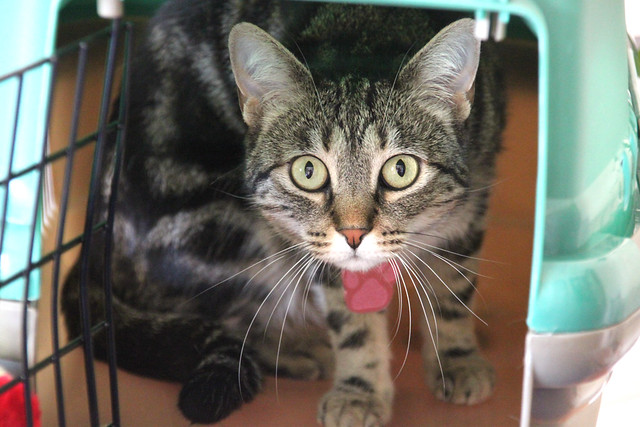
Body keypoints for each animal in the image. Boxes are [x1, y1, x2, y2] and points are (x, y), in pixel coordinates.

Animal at [62, 1, 508, 426]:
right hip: (225, 226)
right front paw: (359, 391)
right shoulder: (312, 244)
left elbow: (454, 289)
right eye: (308, 171)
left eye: (401, 169)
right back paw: (299, 350)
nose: (353, 233)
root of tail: (94, 243)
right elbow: (352, 324)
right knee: (228, 316)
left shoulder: (471, 207)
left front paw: (458, 359)